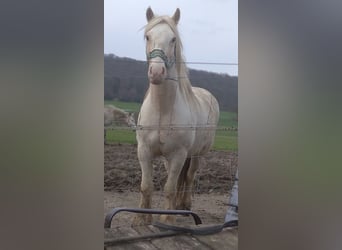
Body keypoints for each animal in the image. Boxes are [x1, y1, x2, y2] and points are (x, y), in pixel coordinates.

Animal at [134, 6, 219, 226]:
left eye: (173, 39)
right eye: (148, 36)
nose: (156, 72)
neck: (163, 110)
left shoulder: (179, 154)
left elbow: (169, 188)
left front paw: (167, 218)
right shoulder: (144, 151)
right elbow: (146, 186)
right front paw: (141, 218)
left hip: (197, 155)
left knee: (188, 176)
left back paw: (184, 205)